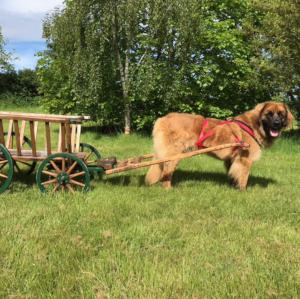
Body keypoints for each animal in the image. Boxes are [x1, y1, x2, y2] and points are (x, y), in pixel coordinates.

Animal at [146, 102, 294, 190]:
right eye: (269, 114)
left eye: (281, 115)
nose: (277, 124)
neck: (253, 126)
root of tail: (163, 118)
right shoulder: (245, 160)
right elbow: (243, 177)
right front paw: (243, 191)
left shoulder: (233, 159)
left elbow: (232, 174)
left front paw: (233, 186)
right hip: (174, 154)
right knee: (167, 170)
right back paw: (168, 188)